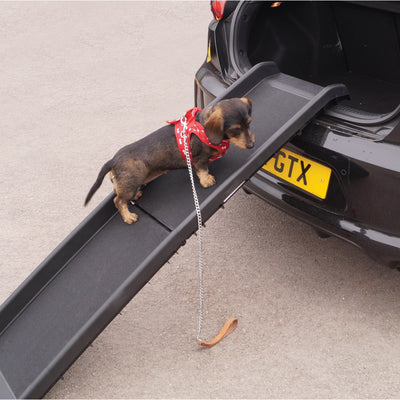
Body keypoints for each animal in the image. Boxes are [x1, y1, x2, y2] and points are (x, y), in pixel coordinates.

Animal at [84, 95, 255, 223]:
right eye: (235, 130)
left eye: (249, 123)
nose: (252, 145)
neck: (203, 127)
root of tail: (113, 160)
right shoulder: (198, 159)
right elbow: (203, 170)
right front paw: (207, 180)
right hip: (129, 184)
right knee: (118, 201)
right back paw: (128, 216)